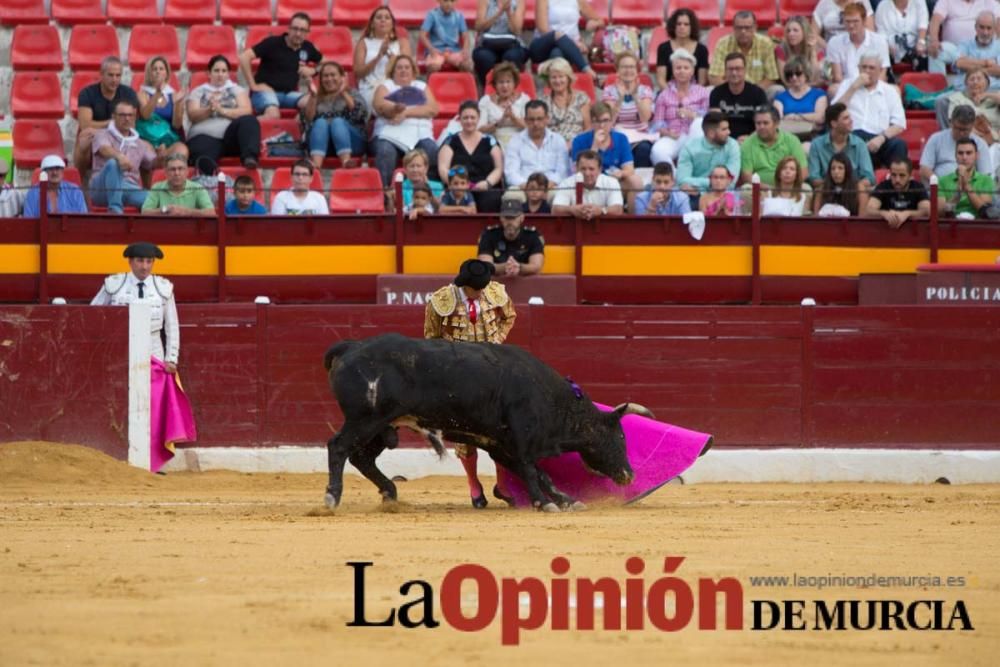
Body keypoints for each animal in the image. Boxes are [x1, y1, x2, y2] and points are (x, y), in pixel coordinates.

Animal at [324, 334, 644, 512]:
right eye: (620, 438)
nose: (629, 475)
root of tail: (351, 347)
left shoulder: (501, 444)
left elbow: (542, 475)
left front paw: (566, 500)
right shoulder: (522, 440)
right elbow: (532, 470)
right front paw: (545, 503)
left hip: (381, 427)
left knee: (362, 458)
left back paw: (390, 493)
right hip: (365, 420)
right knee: (338, 447)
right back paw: (332, 498)